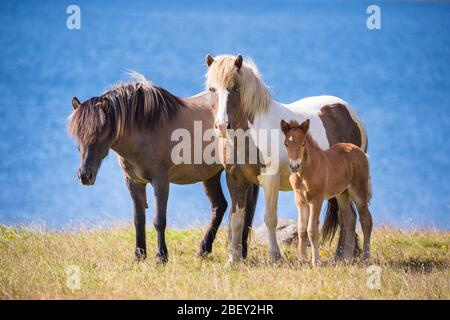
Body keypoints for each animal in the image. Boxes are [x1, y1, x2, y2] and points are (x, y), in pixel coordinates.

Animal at [66, 74, 256, 264]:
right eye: (77, 135)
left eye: (99, 133)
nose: (85, 175)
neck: (144, 128)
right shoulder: (133, 182)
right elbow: (138, 220)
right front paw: (139, 255)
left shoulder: (161, 181)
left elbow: (159, 220)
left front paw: (161, 257)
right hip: (210, 175)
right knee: (220, 206)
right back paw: (204, 249)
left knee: (243, 209)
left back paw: (240, 251)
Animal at [282, 119, 372, 266]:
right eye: (286, 144)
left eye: (303, 143)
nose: (294, 166)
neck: (305, 172)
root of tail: (359, 150)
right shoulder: (300, 201)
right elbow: (301, 229)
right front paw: (302, 260)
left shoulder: (316, 200)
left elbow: (312, 229)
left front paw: (316, 262)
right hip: (342, 194)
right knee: (350, 219)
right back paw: (347, 258)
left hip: (359, 191)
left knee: (366, 221)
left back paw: (366, 258)